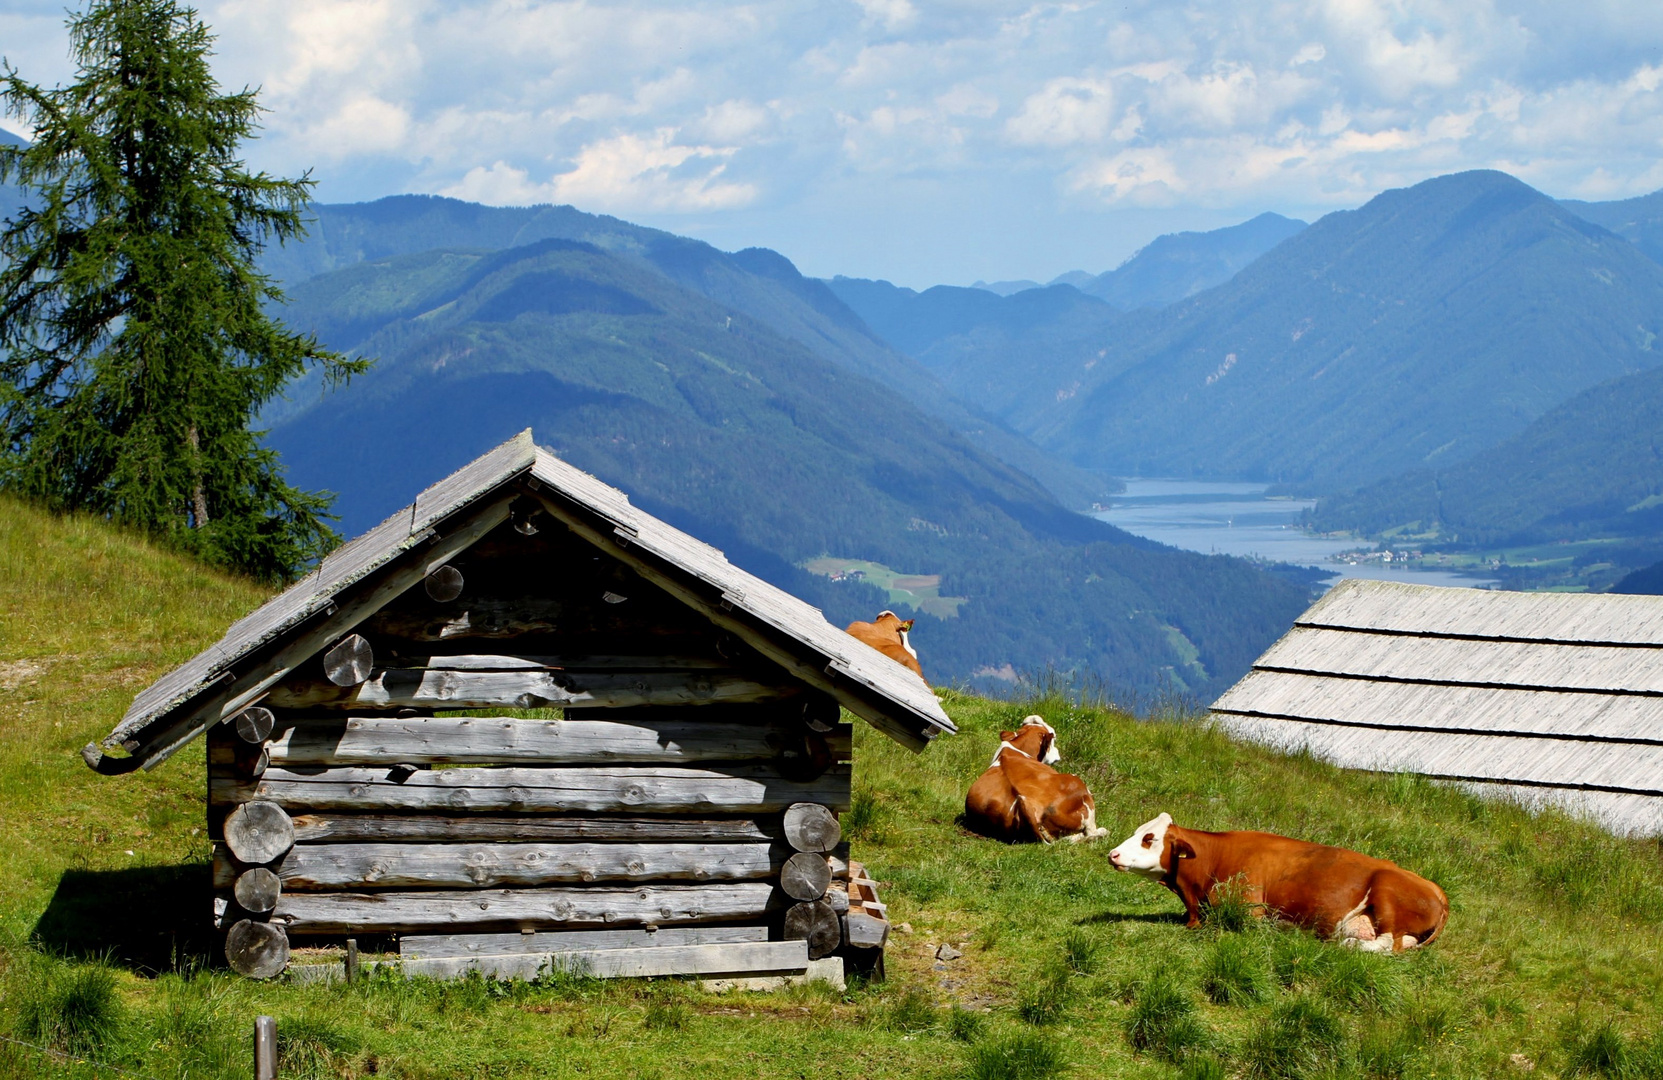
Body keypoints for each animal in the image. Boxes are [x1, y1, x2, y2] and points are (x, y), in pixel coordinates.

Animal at [964, 715, 1104, 842]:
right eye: (1054, 738)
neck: (1015, 748)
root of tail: (1026, 803)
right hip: (1078, 785)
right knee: (1088, 832)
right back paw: (1102, 832)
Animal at [1110, 808, 1450, 951]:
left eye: (1149, 838)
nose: (1112, 853)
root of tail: (1437, 889)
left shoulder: (1250, 910)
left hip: (1386, 892)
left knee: (1387, 944)